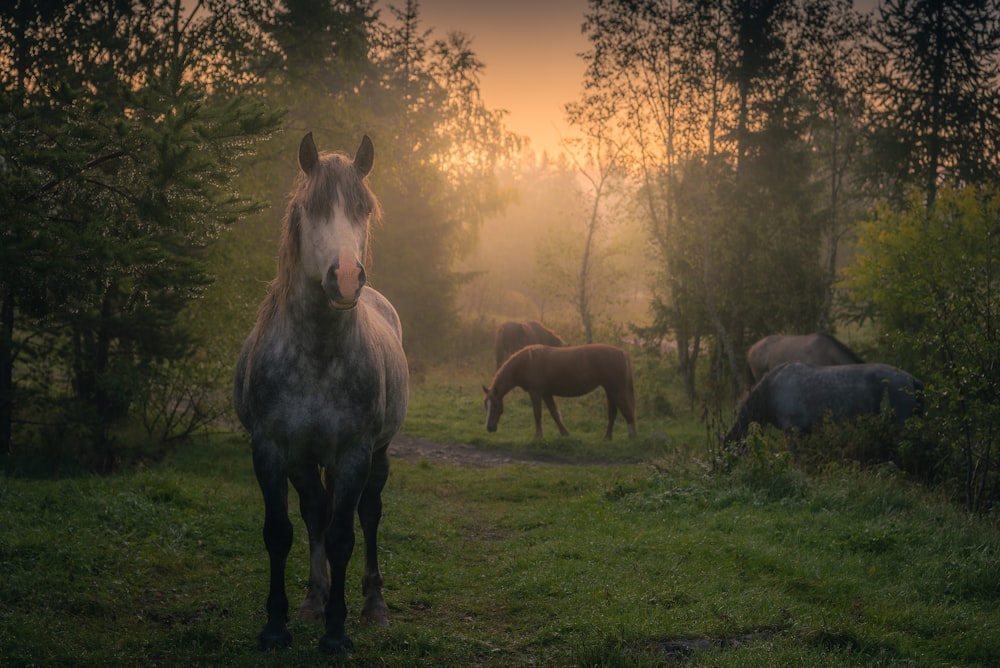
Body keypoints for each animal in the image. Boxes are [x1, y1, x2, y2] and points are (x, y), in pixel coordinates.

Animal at [482, 342, 636, 440]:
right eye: (486, 406)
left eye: (495, 406)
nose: (489, 428)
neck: (526, 362)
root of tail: (622, 353)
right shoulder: (546, 394)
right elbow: (555, 413)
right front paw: (565, 433)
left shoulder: (535, 393)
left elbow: (537, 414)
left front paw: (538, 436)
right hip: (610, 390)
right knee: (613, 413)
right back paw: (608, 437)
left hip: (616, 389)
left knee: (627, 411)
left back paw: (631, 436)